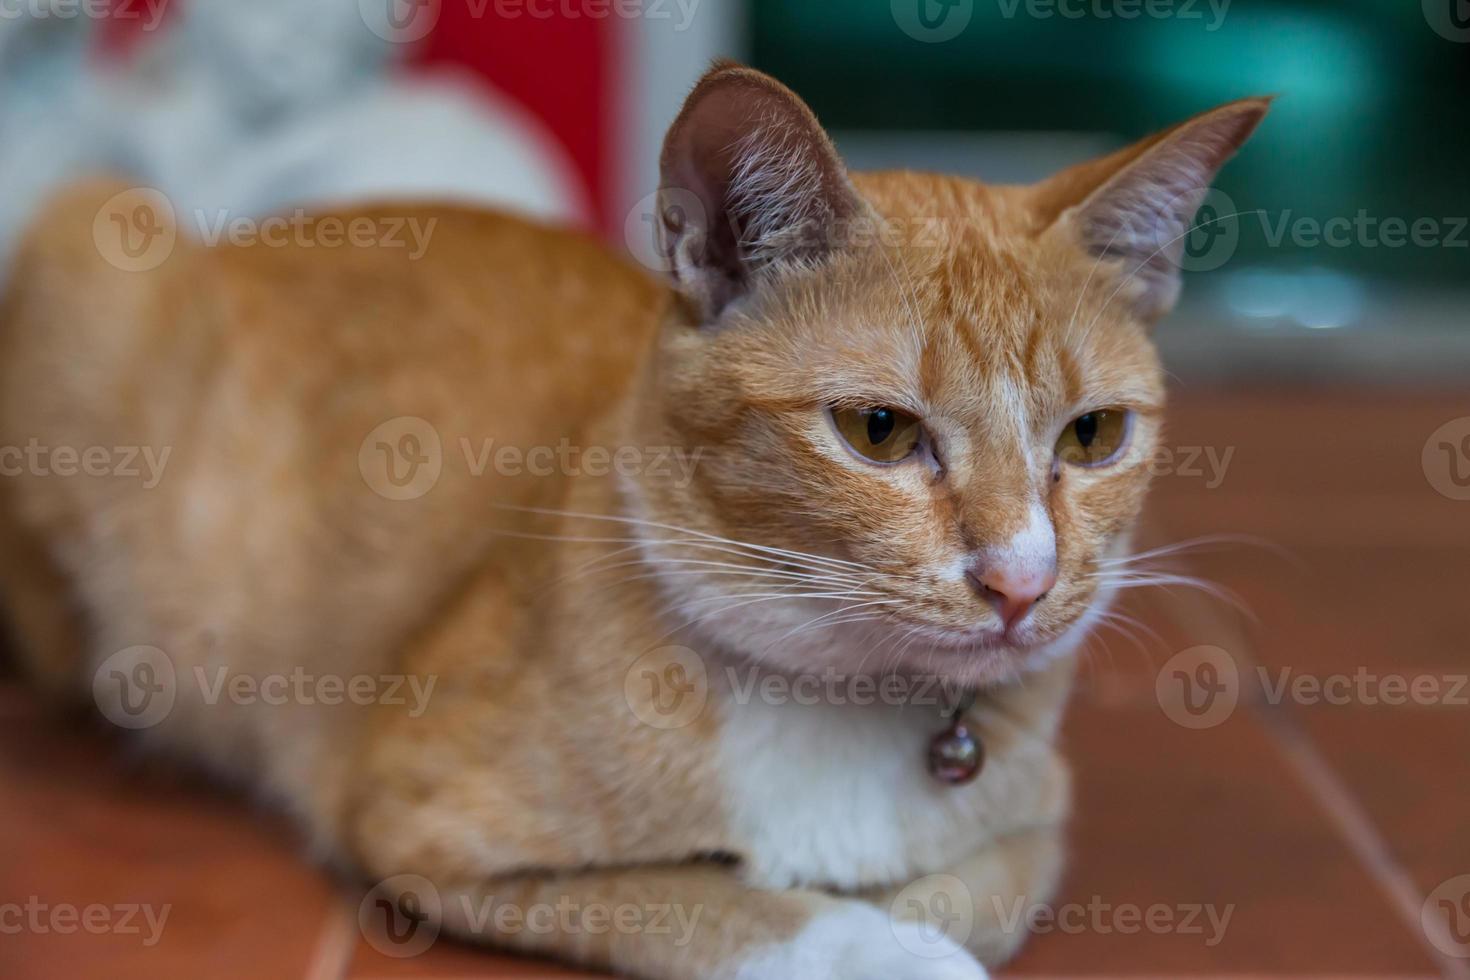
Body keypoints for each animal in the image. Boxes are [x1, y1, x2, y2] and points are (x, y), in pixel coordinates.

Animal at [0, 63, 1264, 980]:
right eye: (880, 430)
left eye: (1092, 437)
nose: (1022, 582)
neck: (840, 701)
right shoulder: (423, 827)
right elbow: (724, 899)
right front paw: (873, 943)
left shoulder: (1035, 822)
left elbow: (977, 896)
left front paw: (919, 922)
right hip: (87, 243)